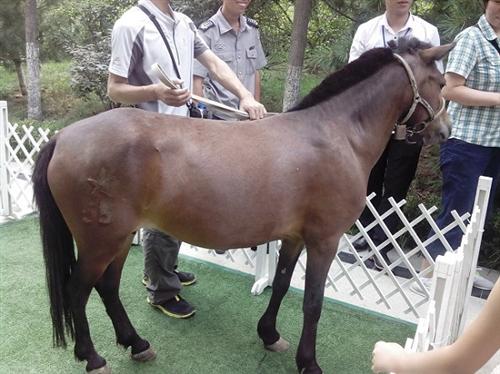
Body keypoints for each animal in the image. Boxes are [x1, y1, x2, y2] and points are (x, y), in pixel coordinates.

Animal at [31, 38, 454, 374]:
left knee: (107, 287)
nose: (444, 131)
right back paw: (92, 357)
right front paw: (309, 362)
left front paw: (270, 335)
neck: (335, 134)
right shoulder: (325, 240)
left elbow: (281, 285)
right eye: (441, 82)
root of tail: (64, 137)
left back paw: (136, 343)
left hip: (118, 239)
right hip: (100, 241)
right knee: (77, 291)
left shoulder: (294, 237)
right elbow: (313, 302)